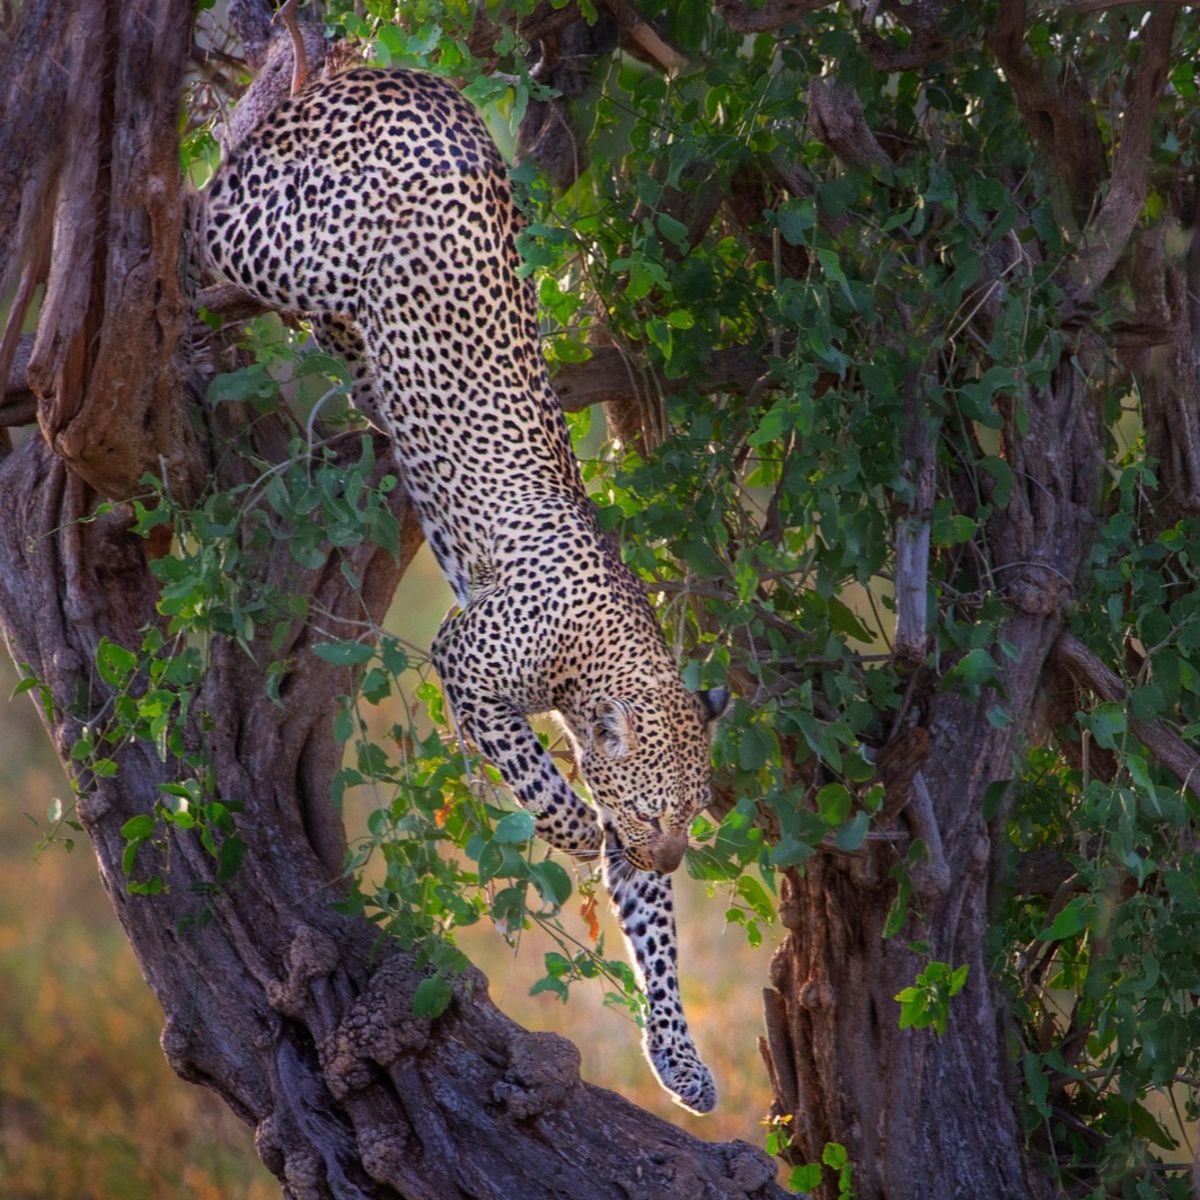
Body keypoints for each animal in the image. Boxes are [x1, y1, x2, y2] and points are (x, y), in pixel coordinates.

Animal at [201, 65, 724, 1113]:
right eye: (660, 817)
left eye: (691, 821)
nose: (660, 850)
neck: (606, 653)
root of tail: (401, 77)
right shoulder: (468, 661)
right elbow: (534, 775)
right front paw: (574, 828)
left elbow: (658, 934)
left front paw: (680, 1061)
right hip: (283, 245)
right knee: (207, 211)